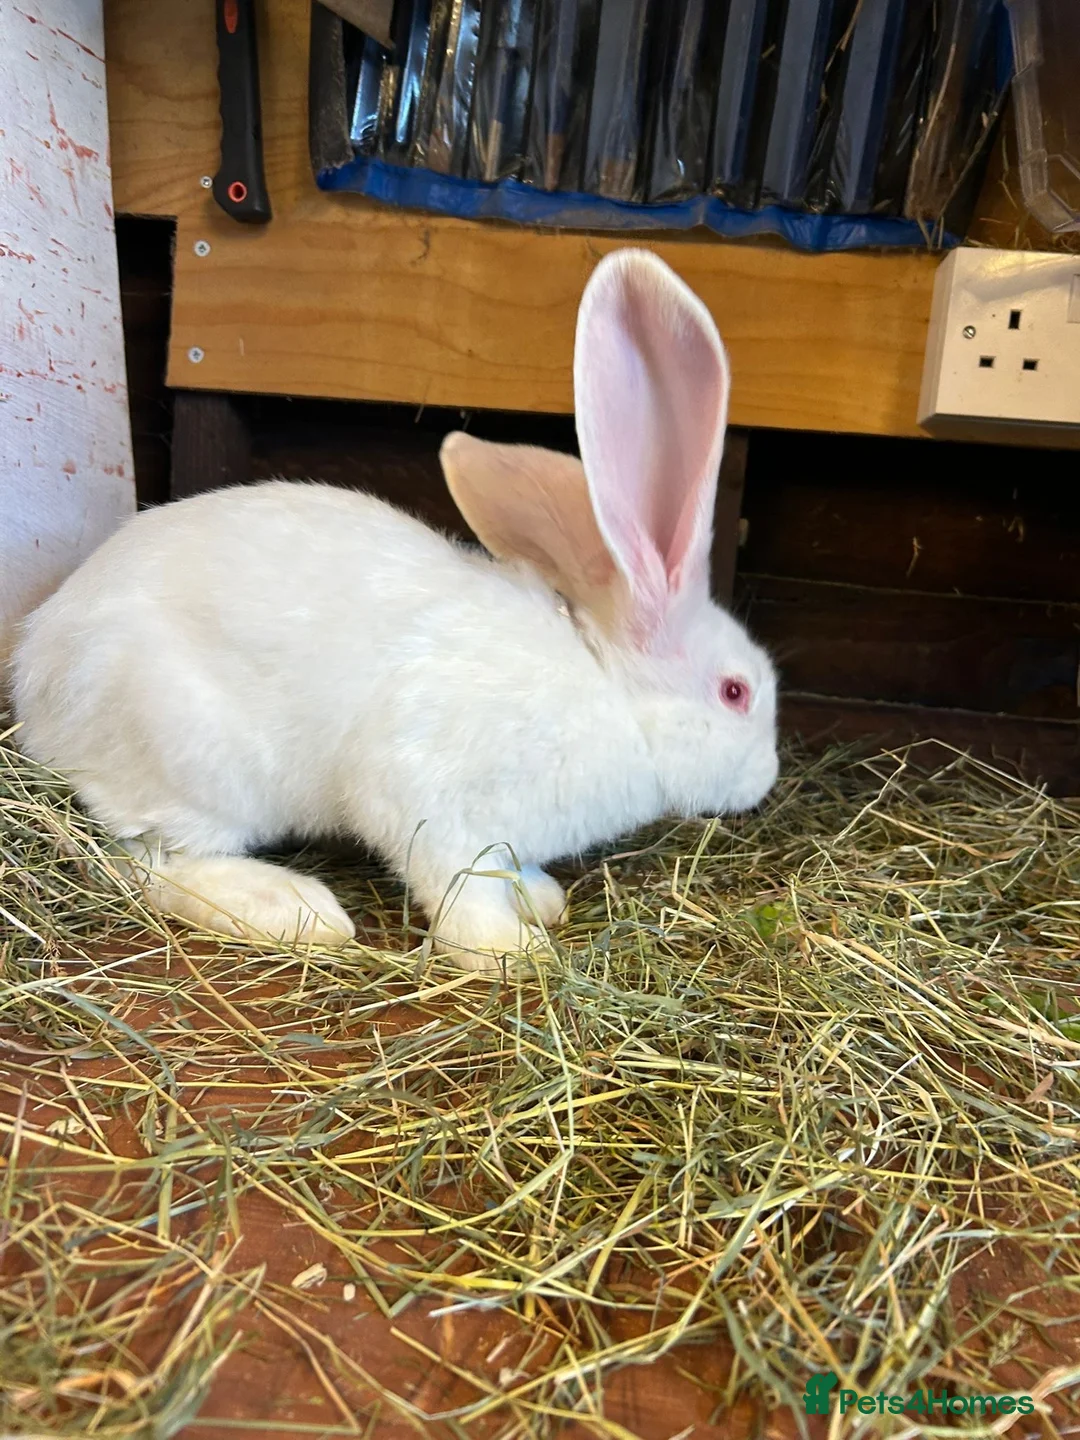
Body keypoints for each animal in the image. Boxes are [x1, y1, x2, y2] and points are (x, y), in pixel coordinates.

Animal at [11, 248, 779, 971]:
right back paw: (293, 909)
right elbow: (458, 884)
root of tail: (35, 683)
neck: (610, 692)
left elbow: (507, 867)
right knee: (149, 861)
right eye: (735, 692)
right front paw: (509, 951)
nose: (767, 778)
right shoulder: (425, 798)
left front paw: (541, 899)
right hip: (192, 764)